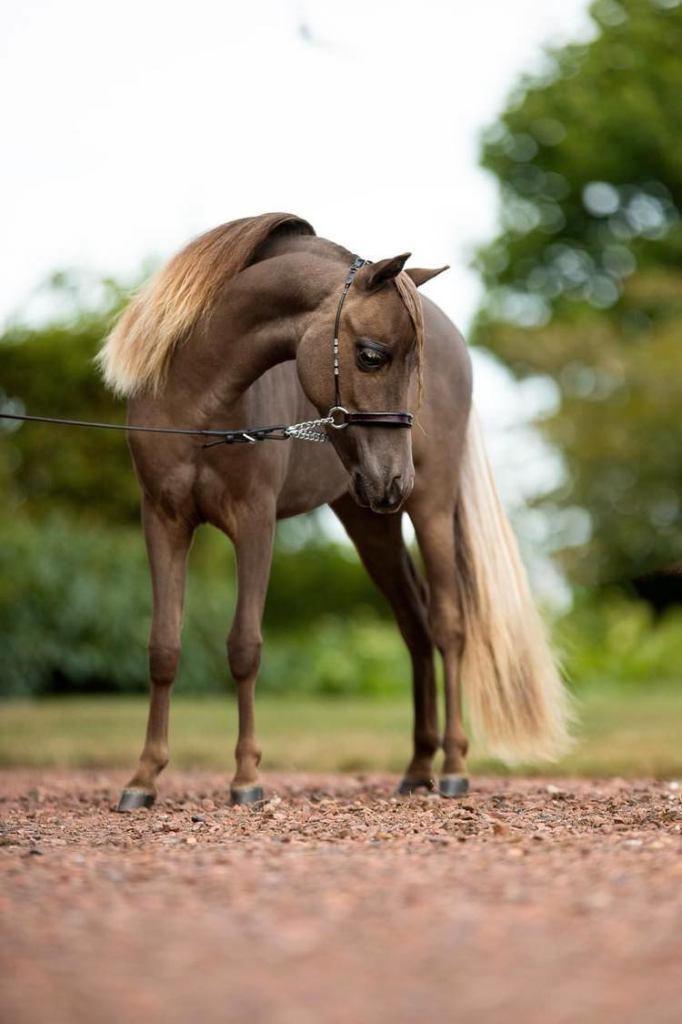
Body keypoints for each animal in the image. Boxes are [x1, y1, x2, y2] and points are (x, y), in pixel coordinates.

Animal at [98, 212, 570, 810]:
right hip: (370, 520)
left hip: (430, 509)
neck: (196, 405)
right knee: (415, 626)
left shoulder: (254, 521)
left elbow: (244, 646)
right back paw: (418, 769)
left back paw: (454, 768)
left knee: (447, 625)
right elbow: (163, 648)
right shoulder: (162, 520)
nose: (397, 478)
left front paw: (246, 778)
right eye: (371, 355)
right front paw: (143, 779)